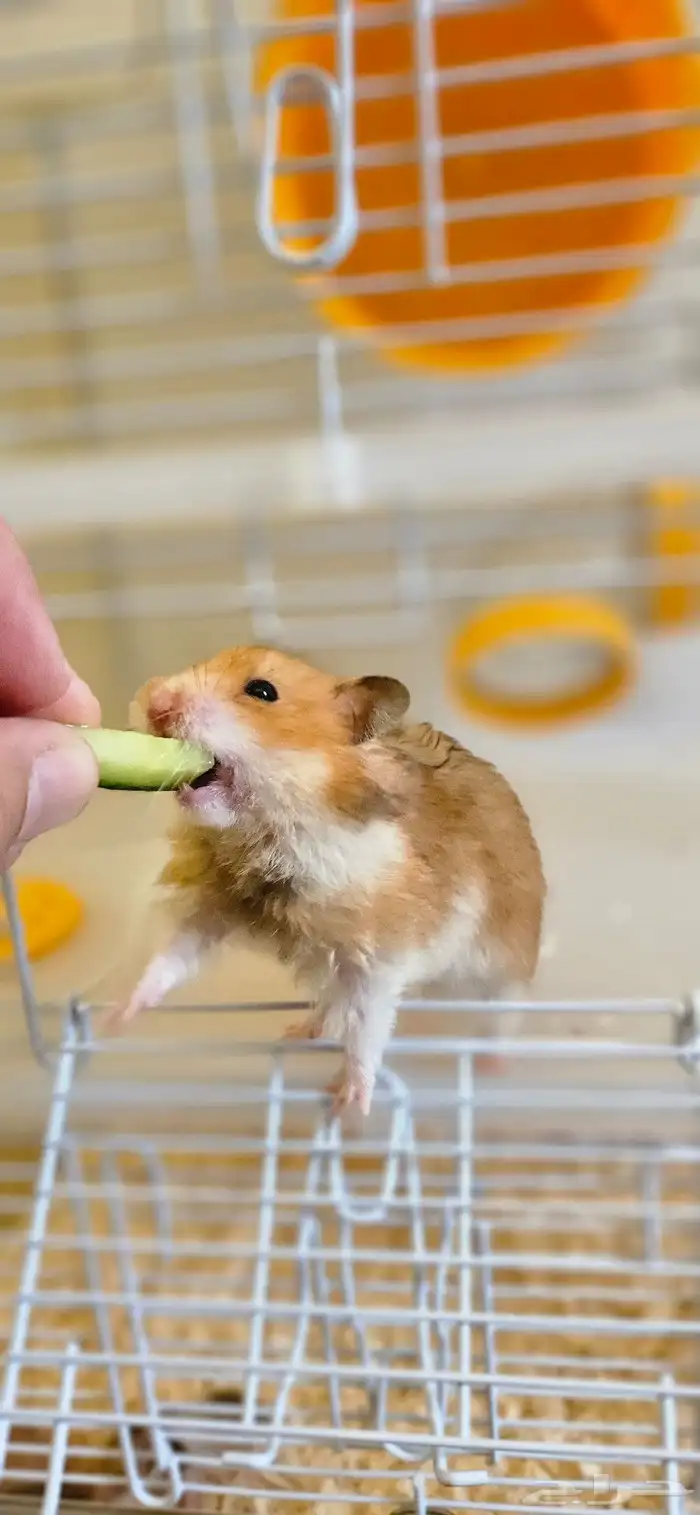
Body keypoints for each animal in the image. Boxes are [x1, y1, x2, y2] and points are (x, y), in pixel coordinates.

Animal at [117, 646, 545, 1114]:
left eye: (262, 691)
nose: (154, 701)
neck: (272, 831)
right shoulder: (214, 908)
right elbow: (174, 957)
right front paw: (117, 1017)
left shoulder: (378, 959)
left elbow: (367, 1030)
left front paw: (349, 1106)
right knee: (329, 1008)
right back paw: (297, 1031)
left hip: (502, 969)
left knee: (501, 1018)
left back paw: (491, 1066)